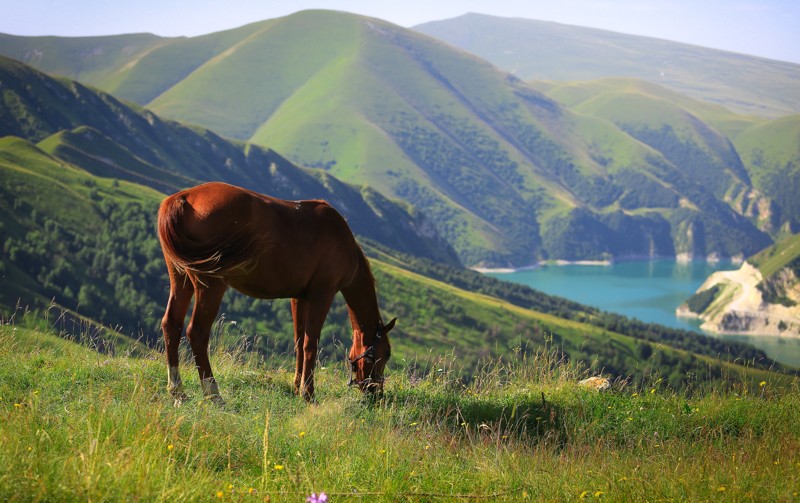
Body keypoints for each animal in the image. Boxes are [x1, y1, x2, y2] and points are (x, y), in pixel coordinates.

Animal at [156, 183, 394, 404]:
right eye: (385, 354)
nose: (377, 395)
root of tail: (183, 198)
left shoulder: (300, 298)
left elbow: (299, 341)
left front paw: (297, 388)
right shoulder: (322, 295)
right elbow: (311, 344)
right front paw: (308, 394)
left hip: (181, 278)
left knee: (172, 325)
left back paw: (177, 391)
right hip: (211, 285)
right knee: (197, 332)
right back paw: (213, 394)